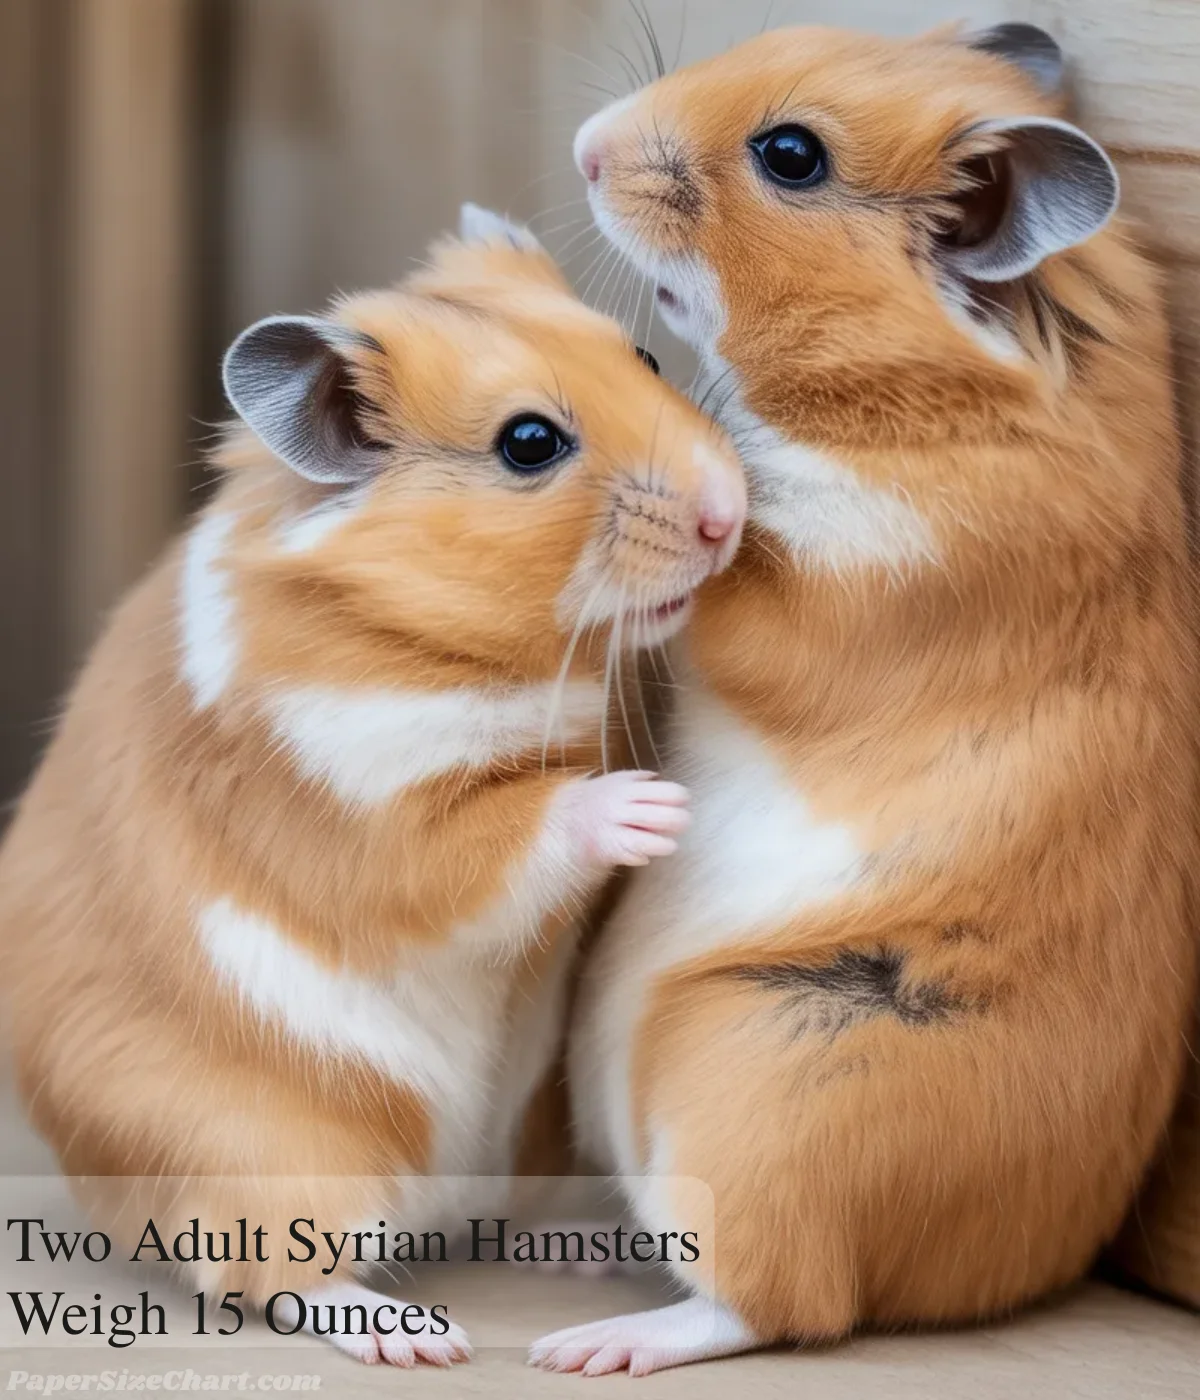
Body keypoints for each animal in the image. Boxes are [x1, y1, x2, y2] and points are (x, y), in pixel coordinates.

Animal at [0, 205, 745, 1367]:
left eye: (647, 356)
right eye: (530, 443)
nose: (730, 516)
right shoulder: (367, 806)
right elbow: (509, 831)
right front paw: (654, 807)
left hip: (527, 1141)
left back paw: (582, 1253)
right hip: (265, 1160)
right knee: (278, 1280)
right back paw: (422, 1337)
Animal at [530, 23, 1199, 1375]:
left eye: (791, 155)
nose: (583, 147)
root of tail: (1020, 1269)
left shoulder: (856, 596)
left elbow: (730, 578)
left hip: (763, 1072)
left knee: (783, 1302)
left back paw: (598, 1344)